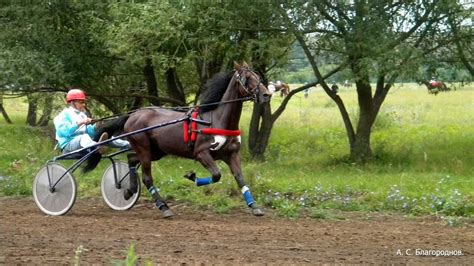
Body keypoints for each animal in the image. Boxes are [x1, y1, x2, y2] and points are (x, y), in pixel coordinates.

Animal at [86, 62, 270, 218]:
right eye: (247, 78)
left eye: (258, 77)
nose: (266, 94)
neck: (216, 120)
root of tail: (133, 115)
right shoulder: (201, 153)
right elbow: (217, 175)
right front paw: (192, 177)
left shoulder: (231, 154)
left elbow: (240, 178)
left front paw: (254, 207)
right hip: (144, 148)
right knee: (146, 177)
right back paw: (163, 207)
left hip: (156, 151)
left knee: (131, 158)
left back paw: (128, 190)